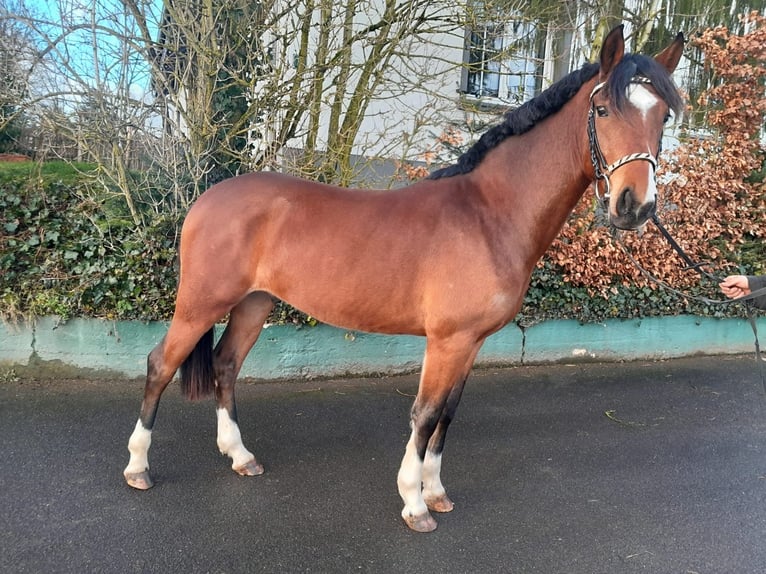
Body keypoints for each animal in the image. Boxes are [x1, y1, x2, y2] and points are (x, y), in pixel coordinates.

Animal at [124, 24, 684, 532]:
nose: (634, 205)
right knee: (159, 365)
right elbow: (426, 413)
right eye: (603, 109)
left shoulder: (471, 343)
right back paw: (138, 467)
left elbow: (448, 415)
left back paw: (240, 457)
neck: (490, 213)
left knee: (225, 365)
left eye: (662, 116)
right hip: (201, 303)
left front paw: (435, 493)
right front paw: (414, 505)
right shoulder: (447, 340)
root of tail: (207, 197)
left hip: (254, 303)